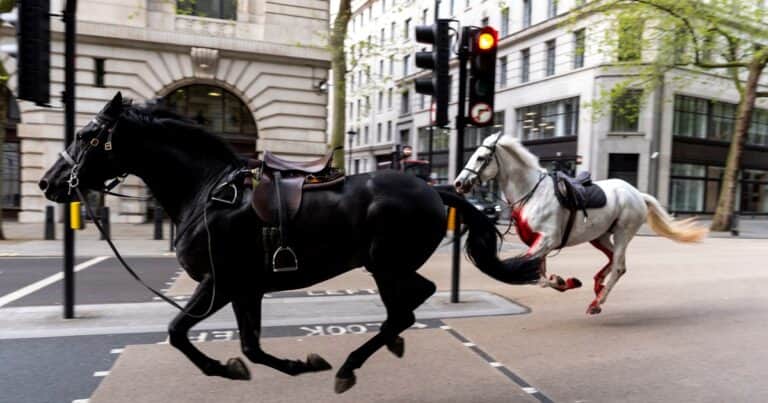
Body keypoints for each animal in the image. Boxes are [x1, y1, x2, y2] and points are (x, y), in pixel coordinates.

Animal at [38, 93, 541, 393]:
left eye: (85, 135)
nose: (48, 183)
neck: (206, 191)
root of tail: (434, 190)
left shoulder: (220, 283)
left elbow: (178, 332)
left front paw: (226, 368)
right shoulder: (245, 289)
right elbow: (250, 347)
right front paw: (293, 364)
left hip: (384, 264)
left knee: (407, 306)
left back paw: (350, 365)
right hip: (387, 266)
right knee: (410, 304)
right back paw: (383, 346)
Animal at [454, 133, 708, 315]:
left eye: (480, 157)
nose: (458, 183)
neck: (532, 193)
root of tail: (636, 193)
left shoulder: (547, 240)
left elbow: (525, 272)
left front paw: (563, 281)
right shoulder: (539, 243)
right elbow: (540, 276)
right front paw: (565, 281)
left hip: (623, 233)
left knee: (618, 267)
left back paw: (597, 302)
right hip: (600, 235)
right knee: (613, 260)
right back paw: (598, 287)